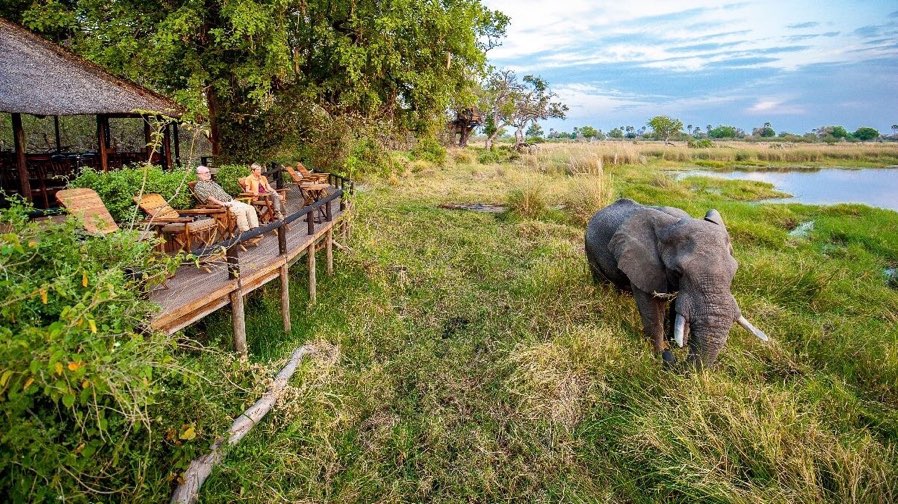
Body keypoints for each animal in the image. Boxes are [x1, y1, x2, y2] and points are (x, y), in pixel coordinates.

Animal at [584, 198, 768, 366]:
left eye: (734, 271)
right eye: (678, 271)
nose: (673, 358)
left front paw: (675, 344)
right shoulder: (641, 262)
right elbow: (652, 307)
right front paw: (659, 352)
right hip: (590, 249)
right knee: (601, 281)